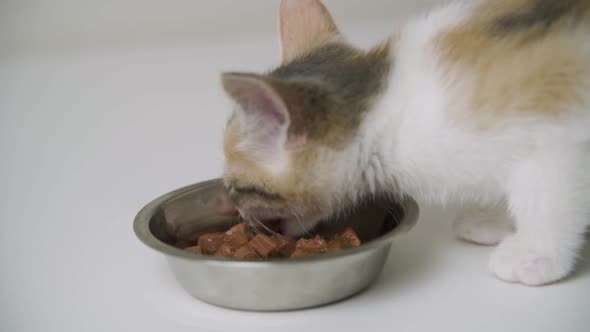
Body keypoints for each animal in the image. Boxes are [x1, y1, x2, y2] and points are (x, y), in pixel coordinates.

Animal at [219, 0, 590, 286]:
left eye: (236, 186)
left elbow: (548, 193)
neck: (386, 110)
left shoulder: (556, 135)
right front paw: (494, 219)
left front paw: (537, 254)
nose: (233, 208)